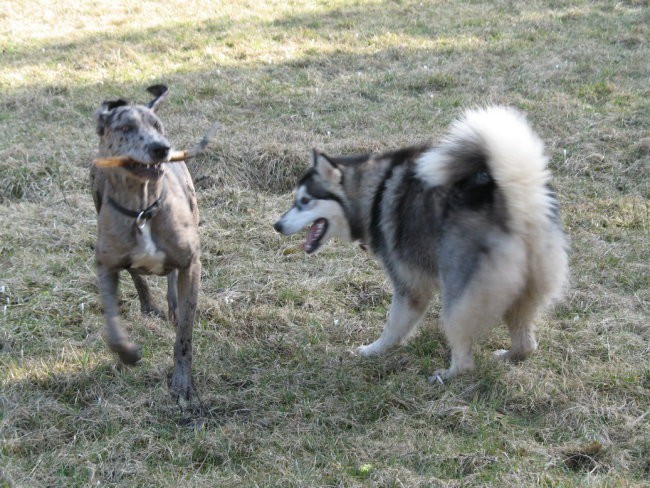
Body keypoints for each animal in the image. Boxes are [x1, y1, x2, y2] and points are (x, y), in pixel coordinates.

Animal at [274, 107, 568, 382]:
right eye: (295, 199)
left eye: (305, 201)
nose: (277, 225)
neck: (374, 193)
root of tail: (519, 203)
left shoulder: (410, 286)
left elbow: (393, 326)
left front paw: (372, 351)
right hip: (522, 293)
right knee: (527, 345)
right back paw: (508, 356)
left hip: (457, 300)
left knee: (466, 360)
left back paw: (445, 376)